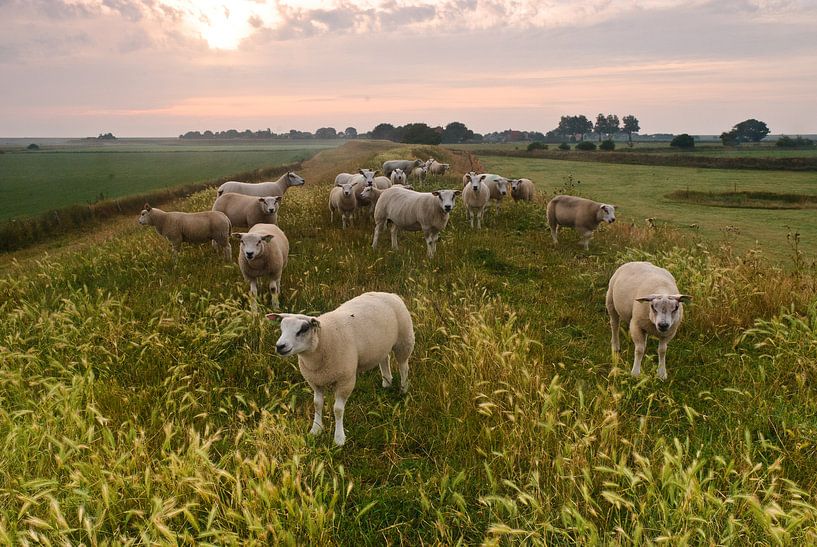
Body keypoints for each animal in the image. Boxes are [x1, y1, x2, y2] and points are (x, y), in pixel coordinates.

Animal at [268, 294, 414, 448]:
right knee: (384, 359)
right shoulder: (315, 381)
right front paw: (316, 429)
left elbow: (338, 410)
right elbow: (317, 404)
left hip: (404, 340)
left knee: (403, 366)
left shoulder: (345, 380)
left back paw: (403, 390)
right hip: (381, 346)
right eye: (281, 328)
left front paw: (339, 438)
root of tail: (389, 294)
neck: (323, 340)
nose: (280, 346)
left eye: (303, 329)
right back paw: (387, 384)